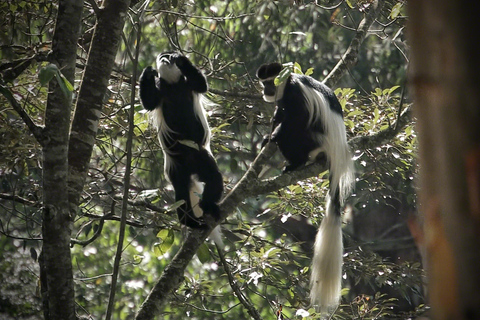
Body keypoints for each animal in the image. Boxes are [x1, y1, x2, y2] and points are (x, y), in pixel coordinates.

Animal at [138, 52, 222, 228]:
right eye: (161, 57)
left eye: (167, 56)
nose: (164, 58)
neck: (173, 84)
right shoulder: (160, 89)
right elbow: (149, 103)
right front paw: (147, 73)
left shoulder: (188, 84)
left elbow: (202, 84)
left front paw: (180, 59)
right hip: (176, 167)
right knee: (181, 191)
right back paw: (189, 221)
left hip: (201, 156)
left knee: (213, 177)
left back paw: (208, 206)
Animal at [256, 62, 354, 308]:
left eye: (270, 82)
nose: (265, 91)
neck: (288, 83)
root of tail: (337, 153)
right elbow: (279, 113)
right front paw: (269, 129)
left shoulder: (296, 95)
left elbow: (296, 118)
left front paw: (272, 135)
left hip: (314, 140)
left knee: (296, 130)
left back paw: (294, 162)